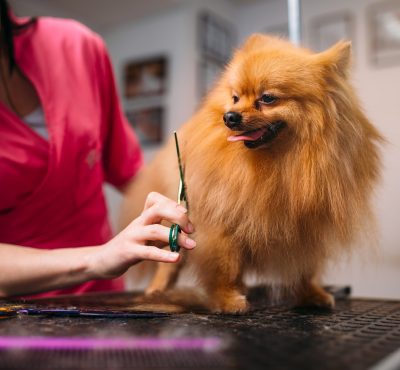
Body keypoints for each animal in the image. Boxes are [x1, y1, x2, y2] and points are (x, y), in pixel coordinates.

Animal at [120, 34, 382, 312]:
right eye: (235, 97)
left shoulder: (307, 227)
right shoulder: (222, 223)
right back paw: (156, 290)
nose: (229, 117)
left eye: (267, 98)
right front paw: (227, 299)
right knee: (171, 262)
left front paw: (311, 293)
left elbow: (305, 267)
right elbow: (225, 265)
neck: (281, 162)